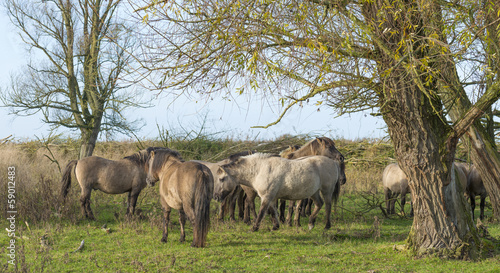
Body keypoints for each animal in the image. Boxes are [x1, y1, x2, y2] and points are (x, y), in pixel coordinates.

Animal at [213, 152, 342, 231]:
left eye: (222, 179)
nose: (216, 197)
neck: (259, 169)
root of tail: (333, 162)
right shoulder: (270, 196)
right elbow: (272, 211)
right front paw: (275, 226)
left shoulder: (266, 196)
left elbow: (262, 212)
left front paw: (254, 227)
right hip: (314, 192)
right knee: (319, 204)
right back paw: (311, 223)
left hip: (327, 190)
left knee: (328, 206)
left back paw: (326, 226)